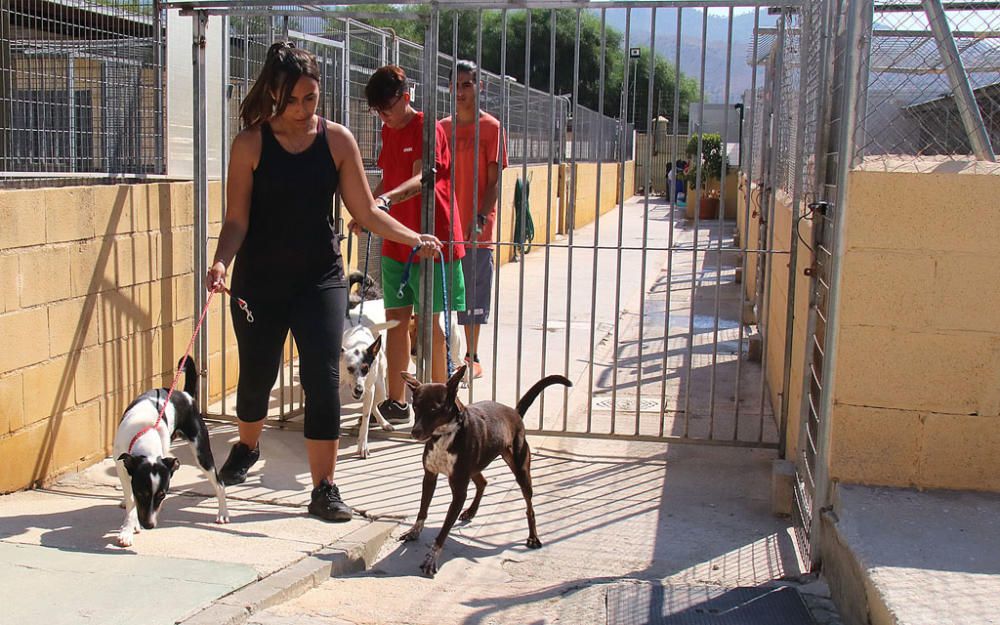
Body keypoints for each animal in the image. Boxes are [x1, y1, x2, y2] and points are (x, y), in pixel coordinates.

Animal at [398, 366, 572, 576]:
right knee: (483, 482)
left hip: (521, 469)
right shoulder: (430, 476)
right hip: (476, 466)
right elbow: (422, 510)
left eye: (434, 409)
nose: (414, 433)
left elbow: (443, 531)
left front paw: (432, 558)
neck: (446, 433)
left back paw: (533, 537)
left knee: (529, 507)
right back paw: (471, 511)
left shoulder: (459, 490)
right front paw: (414, 531)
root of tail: (514, 413)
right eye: (415, 407)